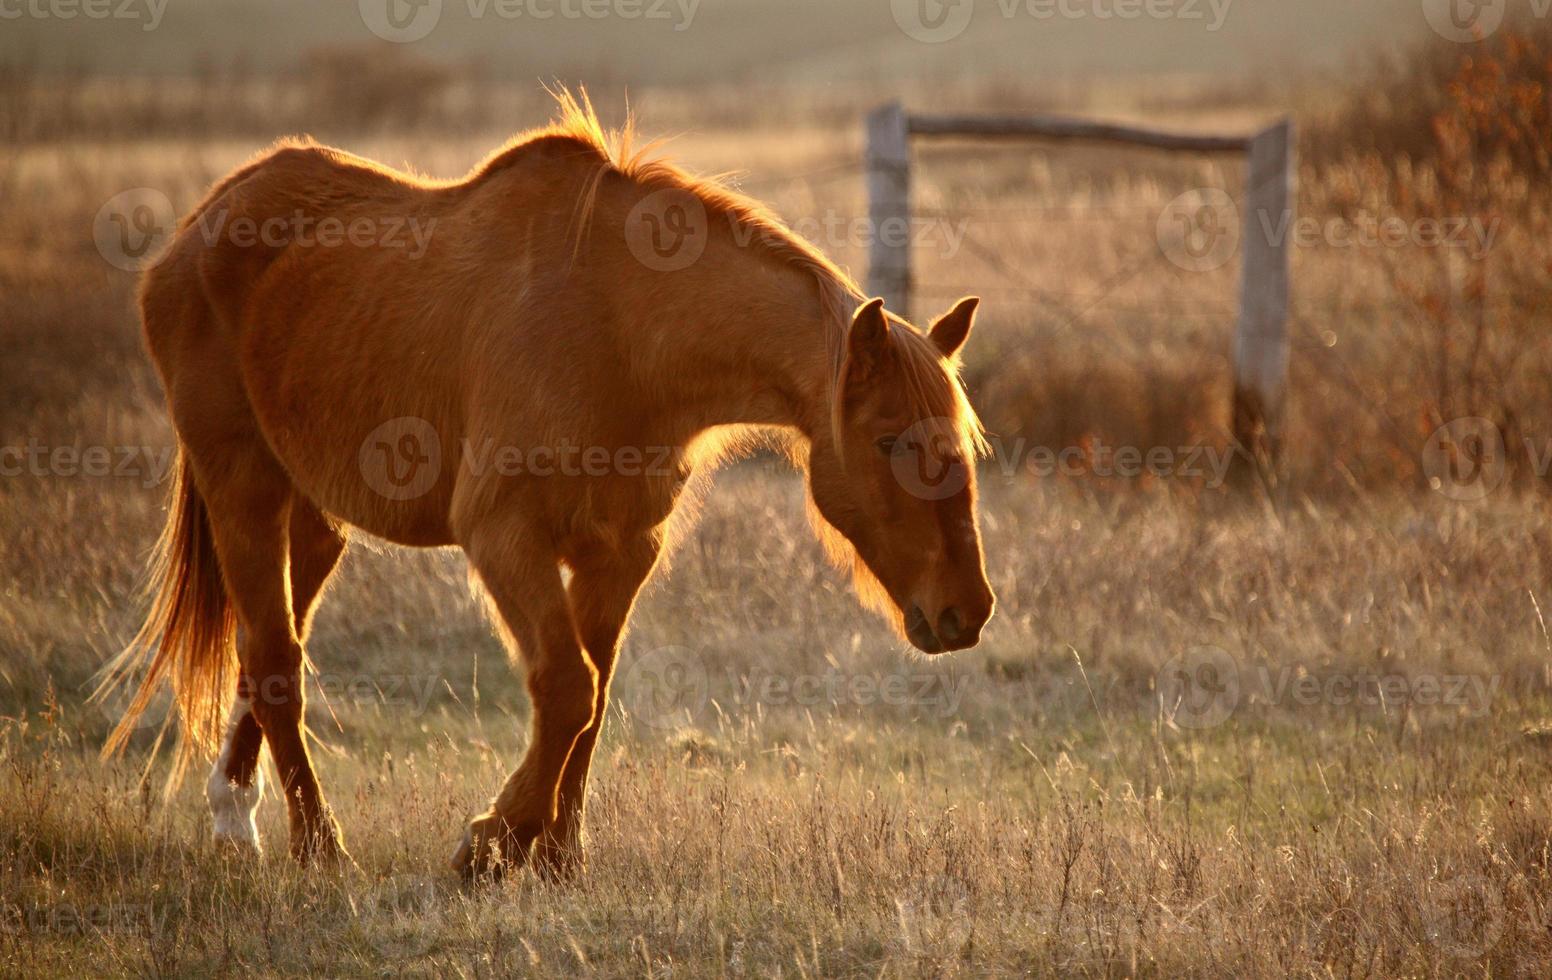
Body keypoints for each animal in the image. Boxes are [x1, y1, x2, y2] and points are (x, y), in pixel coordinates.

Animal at [100, 93, 993, 882]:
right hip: (241, 483)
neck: (621, 333)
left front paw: (559, 860)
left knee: (268, 653)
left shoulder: (621, 553)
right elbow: (568, 690)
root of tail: (200, 227)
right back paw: (319, 850)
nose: (968, 611)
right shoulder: (505, 537)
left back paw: (235, 816)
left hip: (313, 519)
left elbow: (590, 703)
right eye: (890, 441)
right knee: (274, 660)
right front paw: (489, 847)